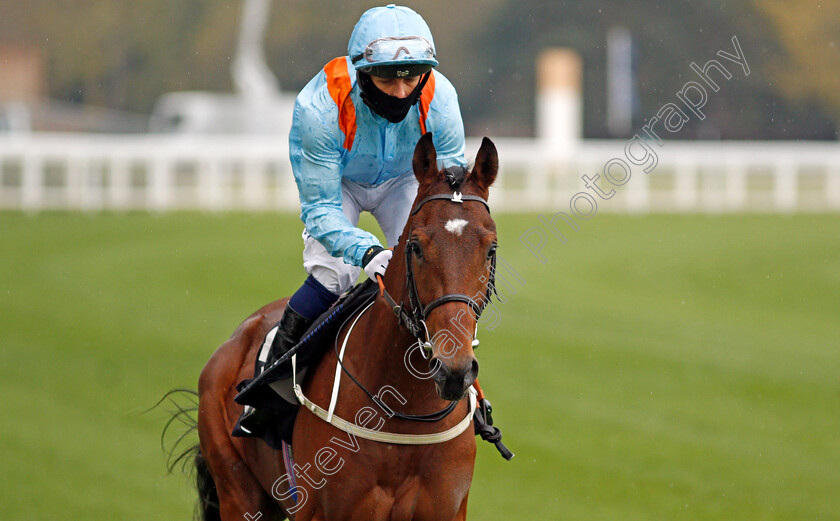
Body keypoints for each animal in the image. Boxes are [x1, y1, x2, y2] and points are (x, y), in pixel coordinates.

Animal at [197, 134, 498, 520]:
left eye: (490, 249)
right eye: (416, 246)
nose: (454, 371)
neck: (406, 412)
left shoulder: (448, 509)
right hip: (238, 493)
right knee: (329, 274)